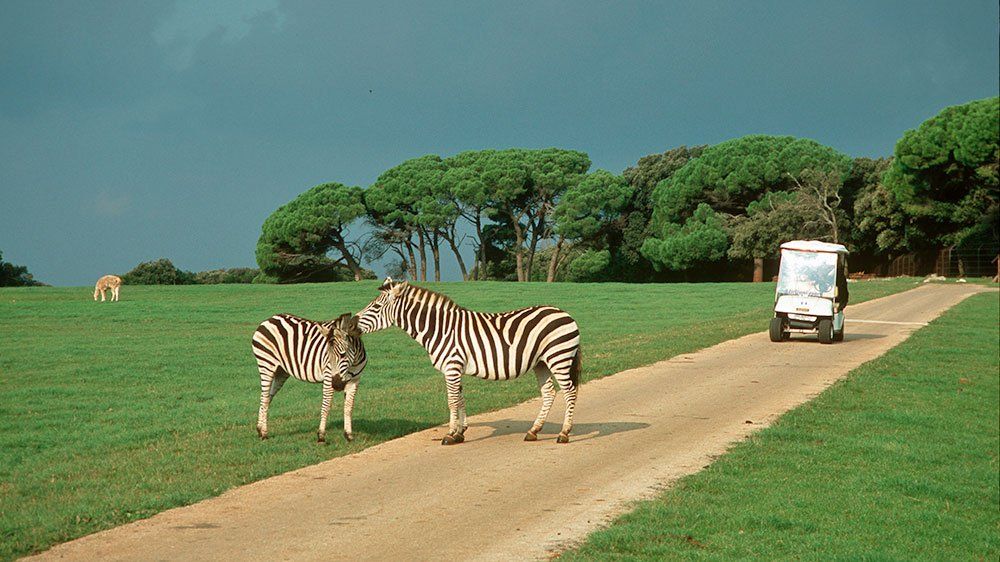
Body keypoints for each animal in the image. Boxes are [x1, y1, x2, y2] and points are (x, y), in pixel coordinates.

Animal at [250, 312, 368, 440]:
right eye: (327, 355)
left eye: (343, 354)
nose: (337, 384)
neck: (353, 363)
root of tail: (269, 319)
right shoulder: (328, 377)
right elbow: (326, 405)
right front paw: (321, 435)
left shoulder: (354, 381)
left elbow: (348, 407)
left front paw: (348, 435)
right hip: (266, 365)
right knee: (264, 397)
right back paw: (264, 433)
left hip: (281, 371)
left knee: (267, 397)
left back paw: (260, 429)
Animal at [358, 276, 580, 442]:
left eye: (376, 307)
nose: (352, 323)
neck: (440, 329)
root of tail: (565, 314)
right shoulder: (455, 368)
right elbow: (461, 398)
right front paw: (460, 432)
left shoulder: (452, 366)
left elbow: (452, 400)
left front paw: (450, 434)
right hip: (541, 363)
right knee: (549, 393)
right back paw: (533, 431)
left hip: (558, 357)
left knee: (569, 392)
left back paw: (564, 433)